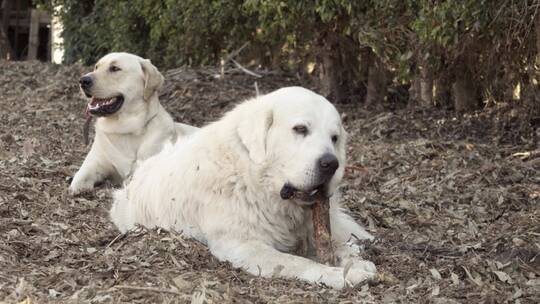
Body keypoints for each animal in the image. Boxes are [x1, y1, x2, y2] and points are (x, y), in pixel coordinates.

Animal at [68, 51, 197, 195]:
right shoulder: (94, 163)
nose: (83, 80)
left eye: (115, 68)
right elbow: (78, 180)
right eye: (96, 67)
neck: (124, 129)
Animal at [110, 86, 376, 288]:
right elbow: (298, 262)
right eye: (300, 129)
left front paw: (354, 261)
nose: (331, 163)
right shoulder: (242, 245)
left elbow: (337, 245)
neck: (252, 178)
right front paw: (341, 275)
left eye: (334, 138)